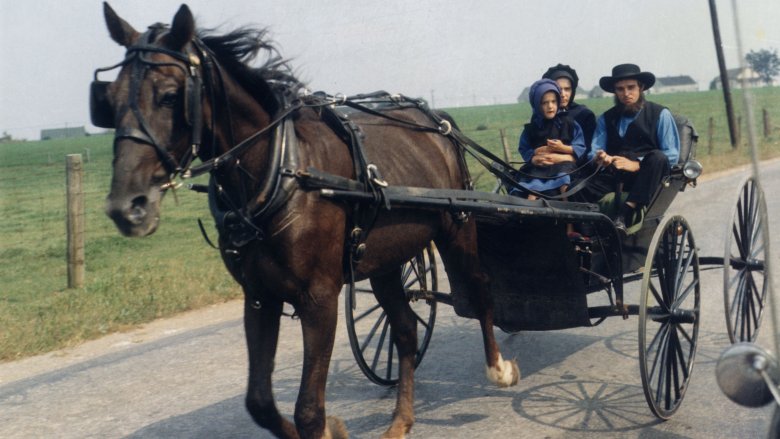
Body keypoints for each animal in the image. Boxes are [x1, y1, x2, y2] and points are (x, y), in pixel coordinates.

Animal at [97, 4, 516, 439]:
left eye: (168, 96)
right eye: (108, 100)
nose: (127, 206)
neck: (282, 170)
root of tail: (437, 122)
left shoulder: (319, 298)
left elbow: (309, 411)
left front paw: (327, 425)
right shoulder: (260, 295)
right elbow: (260, 403)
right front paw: (333, 428)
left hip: (457, 229)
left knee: (480, 290)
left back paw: (498, 368)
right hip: (385, 260)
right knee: (404, 329)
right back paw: (401, 420)